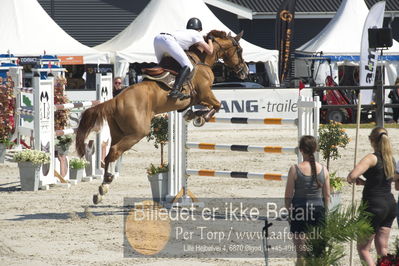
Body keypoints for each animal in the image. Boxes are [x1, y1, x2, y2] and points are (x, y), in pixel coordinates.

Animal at [76, 30, 247, 204]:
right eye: (239, 50)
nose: (244, 71)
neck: (202, 60)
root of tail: (115, 100)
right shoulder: (205, 93)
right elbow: (217, 105)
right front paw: (201, 118)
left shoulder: (197, 98)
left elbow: (205, 106)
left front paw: (194, 114)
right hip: (137, 133)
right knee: (114, 151)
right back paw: (104, 186)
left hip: (118, 132)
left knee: (110, 154)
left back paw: (104, 187)